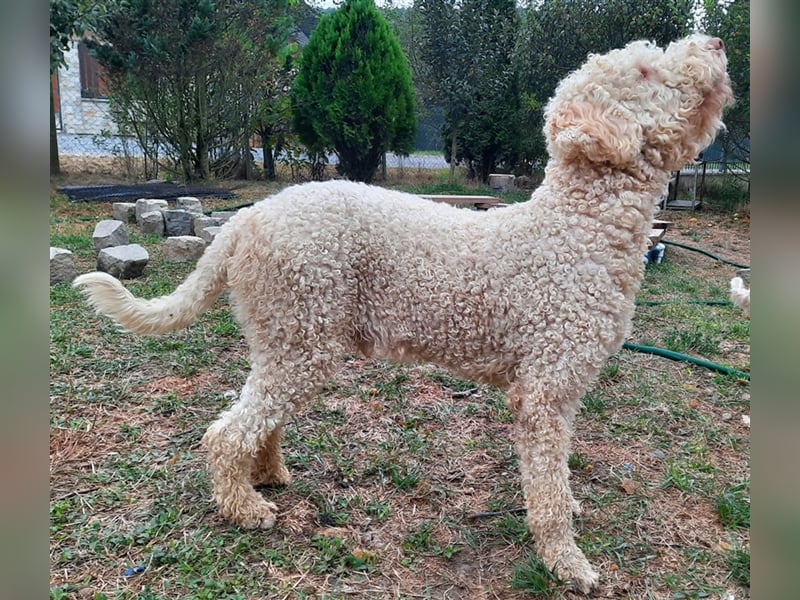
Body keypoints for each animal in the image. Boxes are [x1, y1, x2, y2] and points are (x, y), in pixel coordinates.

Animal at [73, 34, 732, 592]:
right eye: (644, 71)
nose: (718, 42)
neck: (577, 229)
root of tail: (247, 217)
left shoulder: (562, 392)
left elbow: (557, 476)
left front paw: (568, 509)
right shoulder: (544, 392)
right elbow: (545, 487)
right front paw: (567, 562)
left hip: (286, 338)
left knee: (257, 416)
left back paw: (267, 474)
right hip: (303, 339)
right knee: (225, 431)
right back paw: (245, 508)